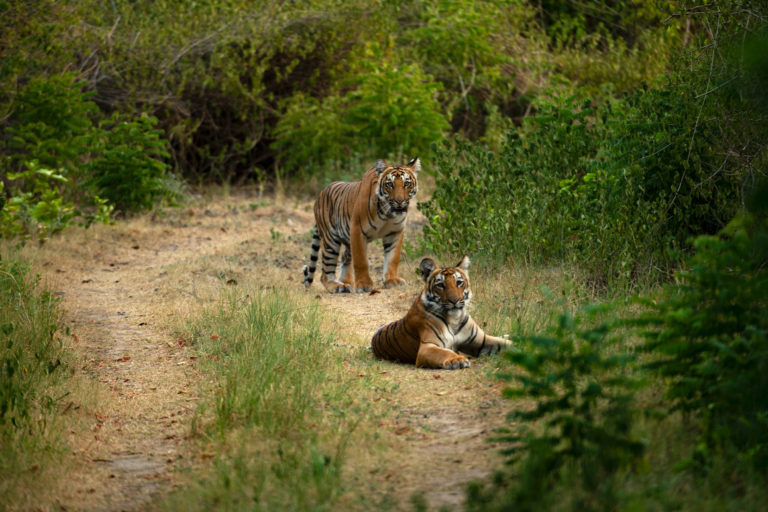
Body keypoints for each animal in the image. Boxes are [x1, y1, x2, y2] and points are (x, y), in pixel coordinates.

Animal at [302, 157, 420, 292]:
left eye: (407, 184)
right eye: (390, 184)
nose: (399, 201)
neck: (388, 213)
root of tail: (320, 195)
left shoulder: (395, 232)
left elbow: (393, 258)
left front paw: (392, 280)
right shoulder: (357, 230)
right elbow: (361, 261)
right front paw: (364, 285)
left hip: (347, 240)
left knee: (344, 257)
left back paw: (346, 282)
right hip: (330, 240)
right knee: (325, 273)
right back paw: (337, 286)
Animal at [370, 255, 512, 368]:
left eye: (459, 282)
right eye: (440, 285)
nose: (454, 300)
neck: (455, 318)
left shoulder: (482, 341)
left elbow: (505, 344)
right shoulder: (428, 347)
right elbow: (444, 352)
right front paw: (457, 359)